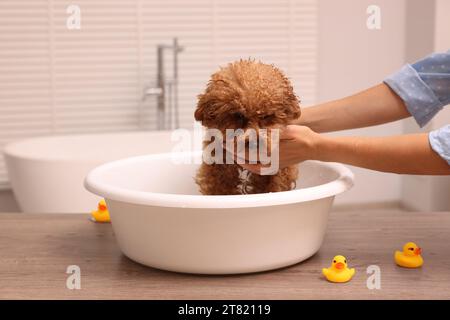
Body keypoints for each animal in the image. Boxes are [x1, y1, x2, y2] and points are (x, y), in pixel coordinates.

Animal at [195, 59, 300, 195]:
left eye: (266, 116)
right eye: (238, 115)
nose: (254, 143)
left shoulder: (279, 171)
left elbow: (275, 186)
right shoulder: (217, 165)